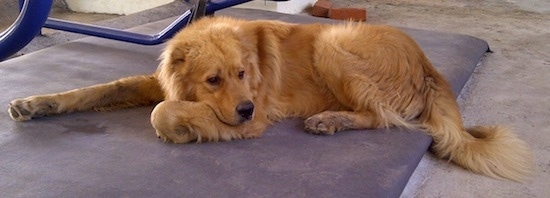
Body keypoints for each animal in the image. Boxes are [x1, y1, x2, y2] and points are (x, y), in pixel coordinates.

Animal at [7, 16, 536, 181]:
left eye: (242, 74)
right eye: (213, 78)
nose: (244, 110)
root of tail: (428, 64)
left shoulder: (255, 113)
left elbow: (163, 110)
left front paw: (184, 129)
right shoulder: (159, 81)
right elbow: (102, 88)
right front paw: (38, 103)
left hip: (334, 42)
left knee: (381, 117)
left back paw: (330, 120)